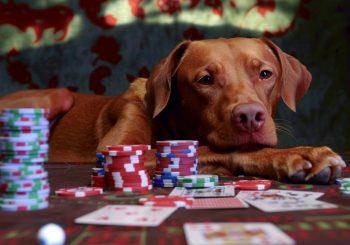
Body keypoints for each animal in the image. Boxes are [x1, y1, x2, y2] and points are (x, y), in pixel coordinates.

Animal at [0, 37, 344, 184]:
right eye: (206, 79)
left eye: (265, 74)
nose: (250, 116)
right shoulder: (114, 151)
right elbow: (217, 149)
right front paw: (296, 154)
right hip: (55, 97)